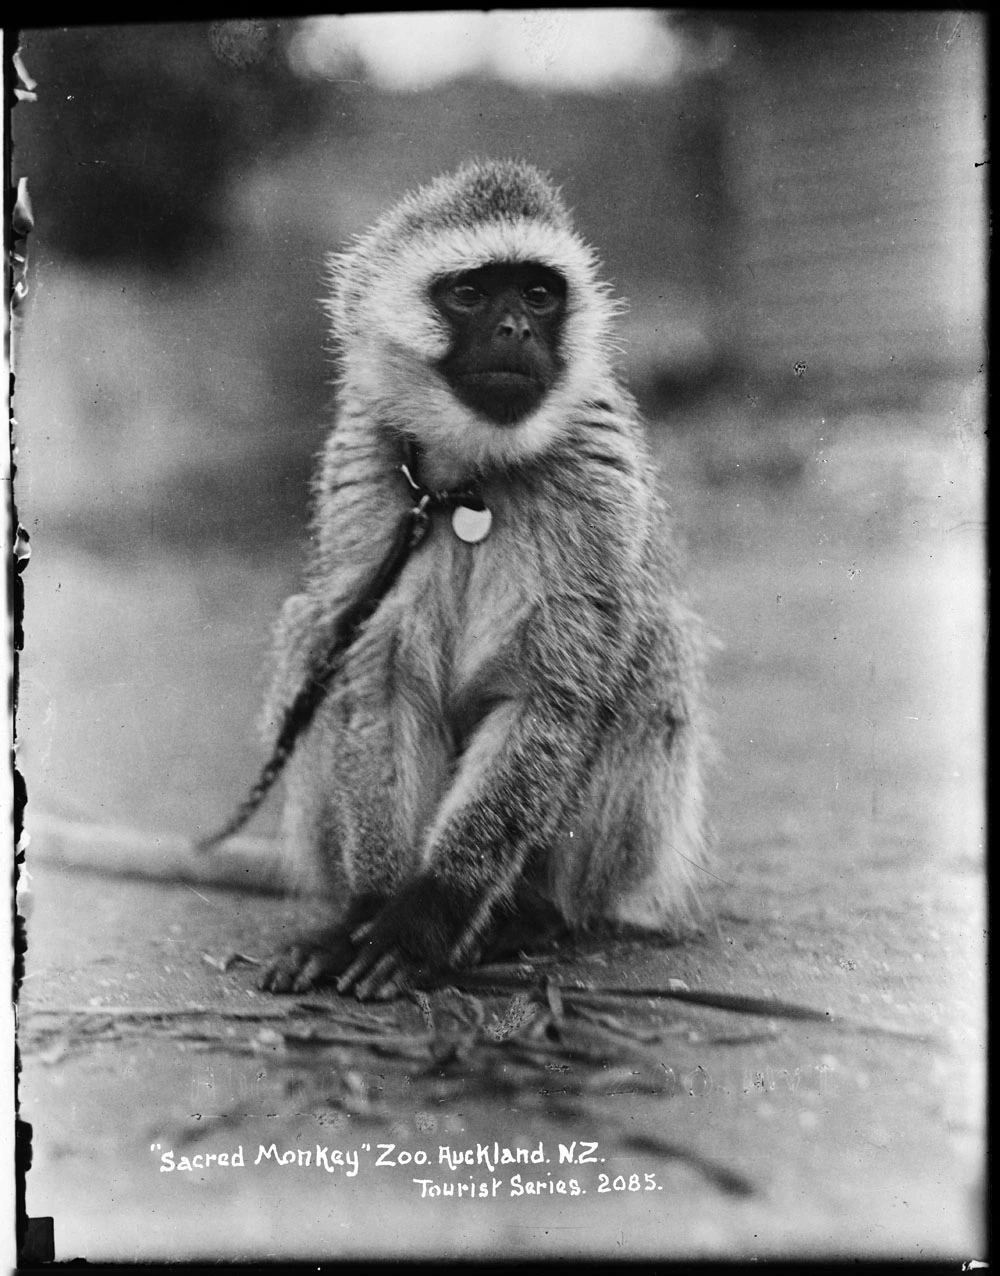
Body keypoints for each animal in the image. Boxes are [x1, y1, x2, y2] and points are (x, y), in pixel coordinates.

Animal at [255, 158, 709, 1001]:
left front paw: (423, 919)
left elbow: (550, 699)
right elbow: (374, 684)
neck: (467, 482)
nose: (515, 331)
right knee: (313, 637)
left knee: (650, 648)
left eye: (537, 293)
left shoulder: (597, 472)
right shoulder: (364, 465)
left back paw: (527, 918)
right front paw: (368, 909)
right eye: (470, 293)